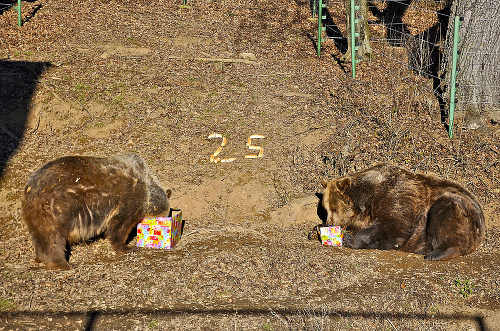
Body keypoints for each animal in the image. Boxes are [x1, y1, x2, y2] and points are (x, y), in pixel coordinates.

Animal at [22, 154, 172, 272]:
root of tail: (31, 187)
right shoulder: (129, 198)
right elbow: (120, 225)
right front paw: (126, 247)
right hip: (58, 206)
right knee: (53, 236)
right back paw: (62, 263)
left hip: (36, 211)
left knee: (41, 234)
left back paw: (40, 257)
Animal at [320, 163, 484, 262]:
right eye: (325, 208)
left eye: (333, 208)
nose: (329, 223)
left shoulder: (396, 196)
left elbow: (395, 226)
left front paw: (349, 238)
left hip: (461, 211)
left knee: (445, 213)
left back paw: (436, 253)